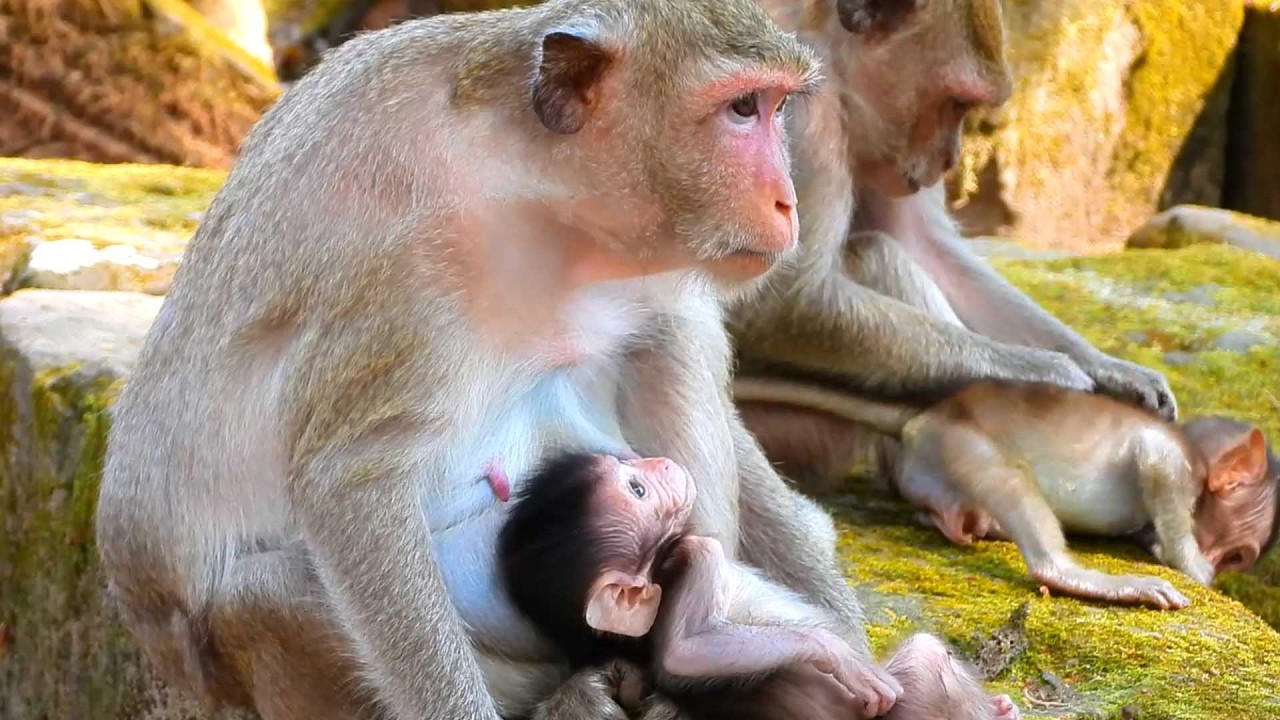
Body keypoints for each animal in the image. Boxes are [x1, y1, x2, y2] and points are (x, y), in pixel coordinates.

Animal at [91, 2, 897, 719]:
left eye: (776, 106)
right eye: (740, 109)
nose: (788, 203)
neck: (538, 188)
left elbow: (676, 339)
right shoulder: (418, 264)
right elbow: (351, 480)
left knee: (670, 339)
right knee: (261, 594)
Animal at [497, 450, 1019, 720]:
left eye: (633, 471)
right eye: (637, 490)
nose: (658, 461)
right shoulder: (697, 558)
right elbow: (684, 652)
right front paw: (834, 652)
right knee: (927, 656)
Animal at [720, 0, 1180, 493]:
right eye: (956, 102)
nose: (950, 159)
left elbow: (924, 245)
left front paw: (1108, 369)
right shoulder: (801, 119)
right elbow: (783, 300)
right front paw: (1050, 377)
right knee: (872, 256)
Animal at [733, 376, 1280, 610]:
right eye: (1238, 556)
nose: (1224, 566)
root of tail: (928, 414)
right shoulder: (1177, 467)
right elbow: (1155, 465)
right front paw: (1194, 567)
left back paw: (958, 521)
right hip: (959, 441)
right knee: (1007, 483)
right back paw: (1076, 575)